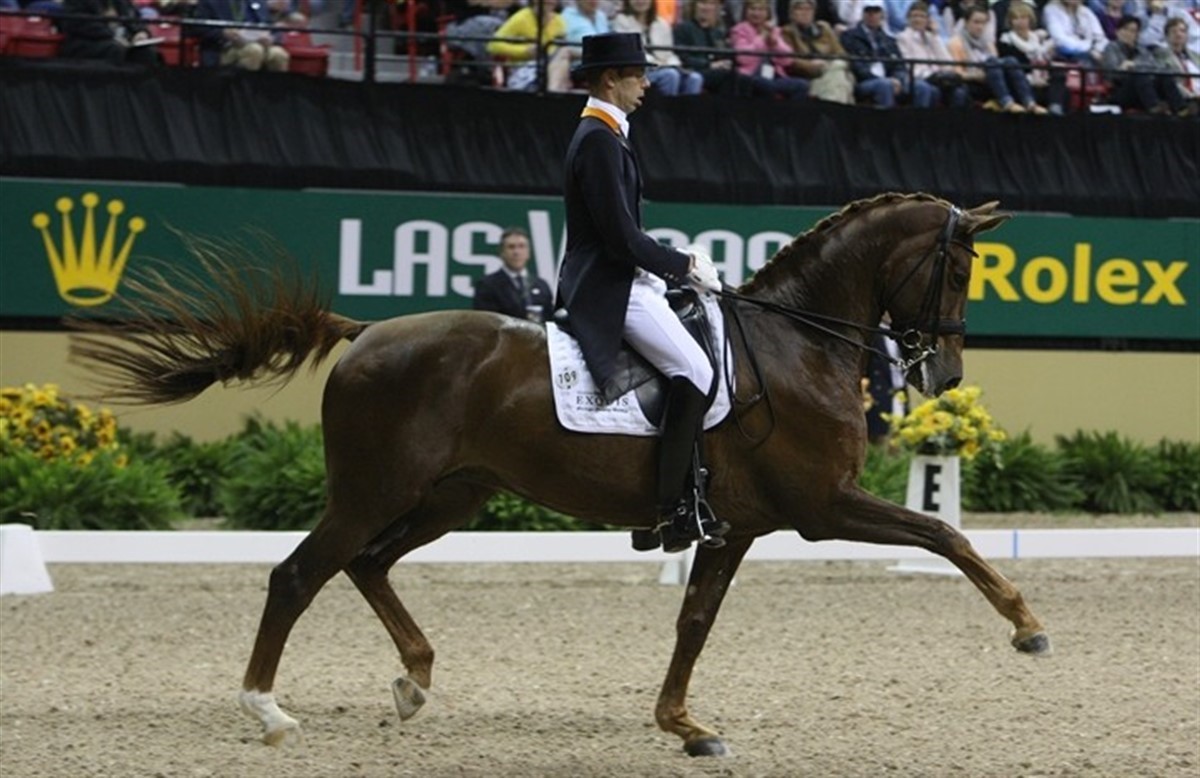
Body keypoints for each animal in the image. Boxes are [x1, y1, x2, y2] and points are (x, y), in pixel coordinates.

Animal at [70, 192, 1050, 758]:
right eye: (959, 266)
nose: (942, 377)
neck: (794, 343)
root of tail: (367, 332)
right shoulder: (820, 506)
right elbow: (945, 532)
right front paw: (1028, 628)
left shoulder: (736, 526)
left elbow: (695, 622)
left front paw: (683, 725)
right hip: (377, 490)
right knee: (300, 572)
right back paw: (267, 711)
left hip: (452, 494)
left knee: (367, 564)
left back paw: (415, 681)